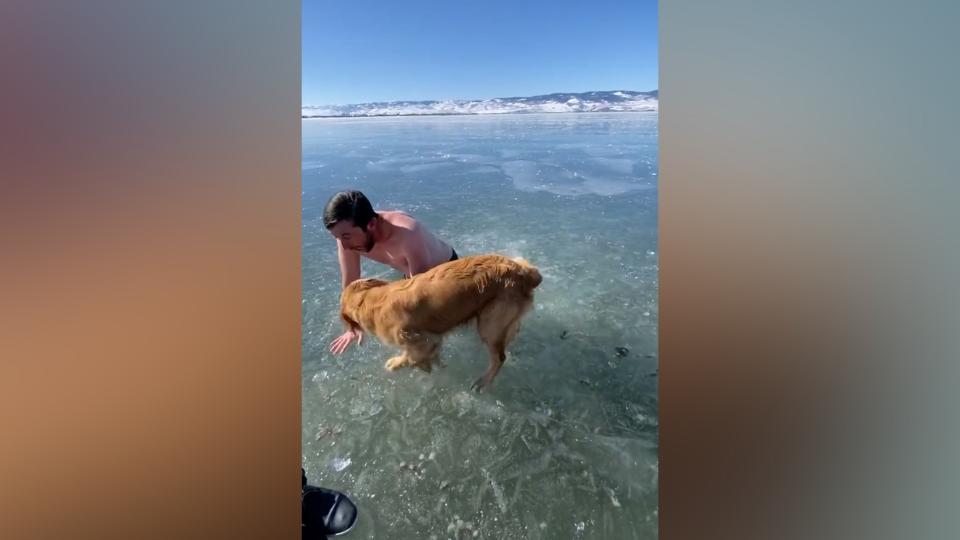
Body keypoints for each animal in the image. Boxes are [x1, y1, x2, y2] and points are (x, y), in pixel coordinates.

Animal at [342, 255, 544, 390]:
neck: (369, 299)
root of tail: (525, 272)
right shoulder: (431, 339)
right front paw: (434, 364)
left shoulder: (423, 338)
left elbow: (411, 357)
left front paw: (400, 364)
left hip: (489, 323)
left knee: (500, 357)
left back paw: (482, 382)